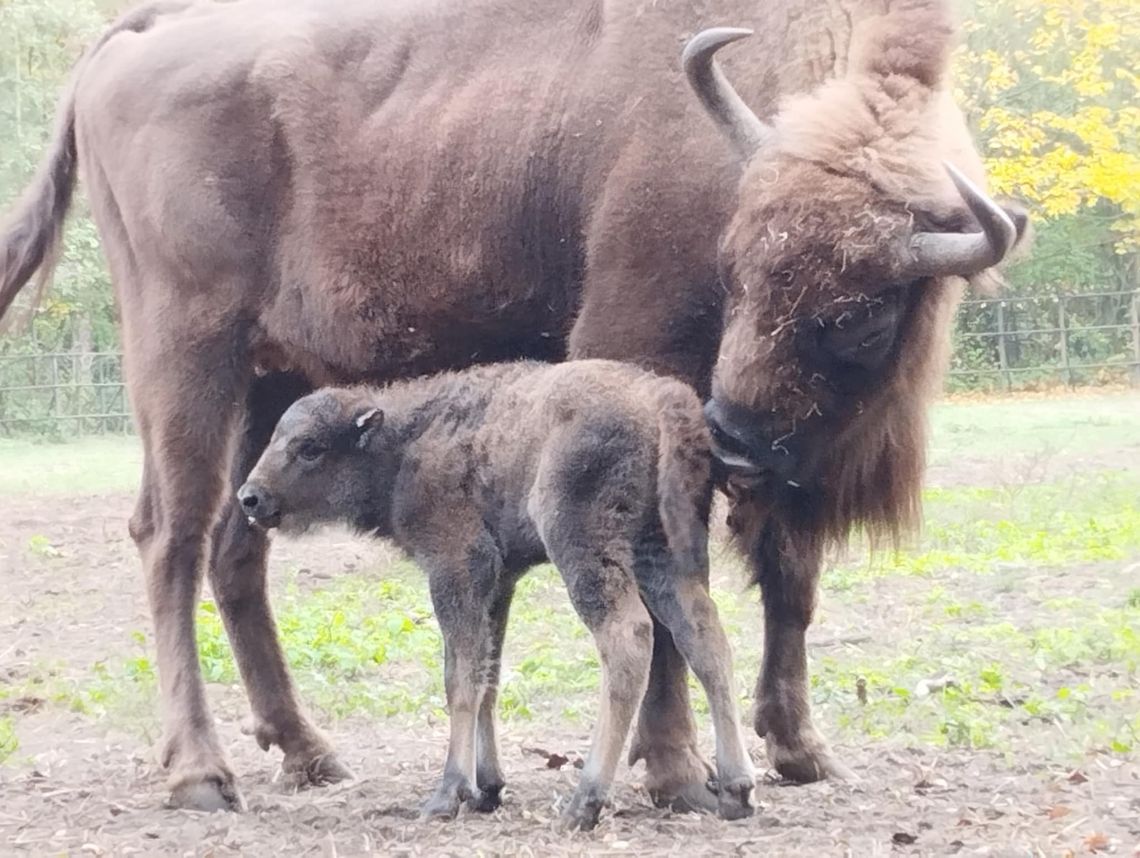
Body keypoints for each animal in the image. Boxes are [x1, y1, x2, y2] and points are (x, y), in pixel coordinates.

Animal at [238, 357, 756, 824]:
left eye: (310, 447)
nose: (250, 497)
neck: (405, 444)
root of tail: (660, 398)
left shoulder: (457, 568)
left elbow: (460, 679)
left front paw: (449, 793)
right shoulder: (500, 582)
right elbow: (488, 675)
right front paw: (487, 788)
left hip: (585, 550)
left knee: (627, 640)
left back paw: (583, 803)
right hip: (667, 552)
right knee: (705, 637)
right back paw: (737, 791)